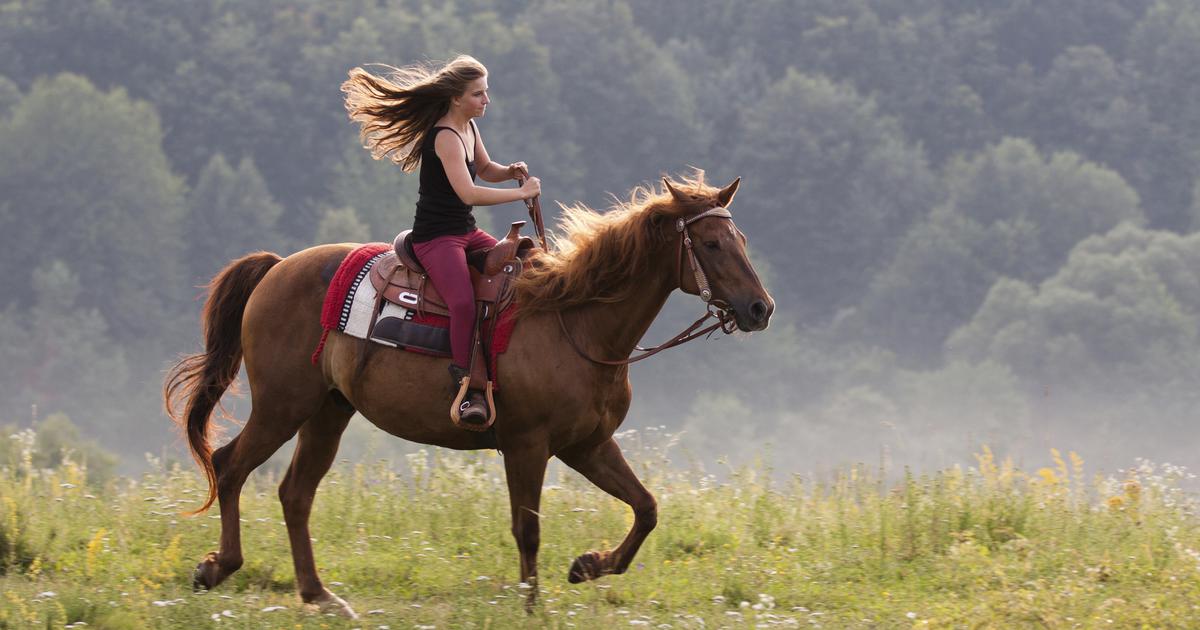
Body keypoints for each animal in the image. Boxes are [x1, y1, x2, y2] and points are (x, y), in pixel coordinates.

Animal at [164, 171, 772, 614]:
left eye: (742, 239)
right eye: (712, 243)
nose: (760, 308)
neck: (575, 321)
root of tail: (274, 270)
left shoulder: (587, 445)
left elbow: (646, 508)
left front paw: (587, 565)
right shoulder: (527, 446)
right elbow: (528, 529)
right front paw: (533, 607)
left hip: (327, 412)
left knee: (295, 493)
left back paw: (321, 596)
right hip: (281, 406)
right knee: (232, 465)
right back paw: (216, 567)